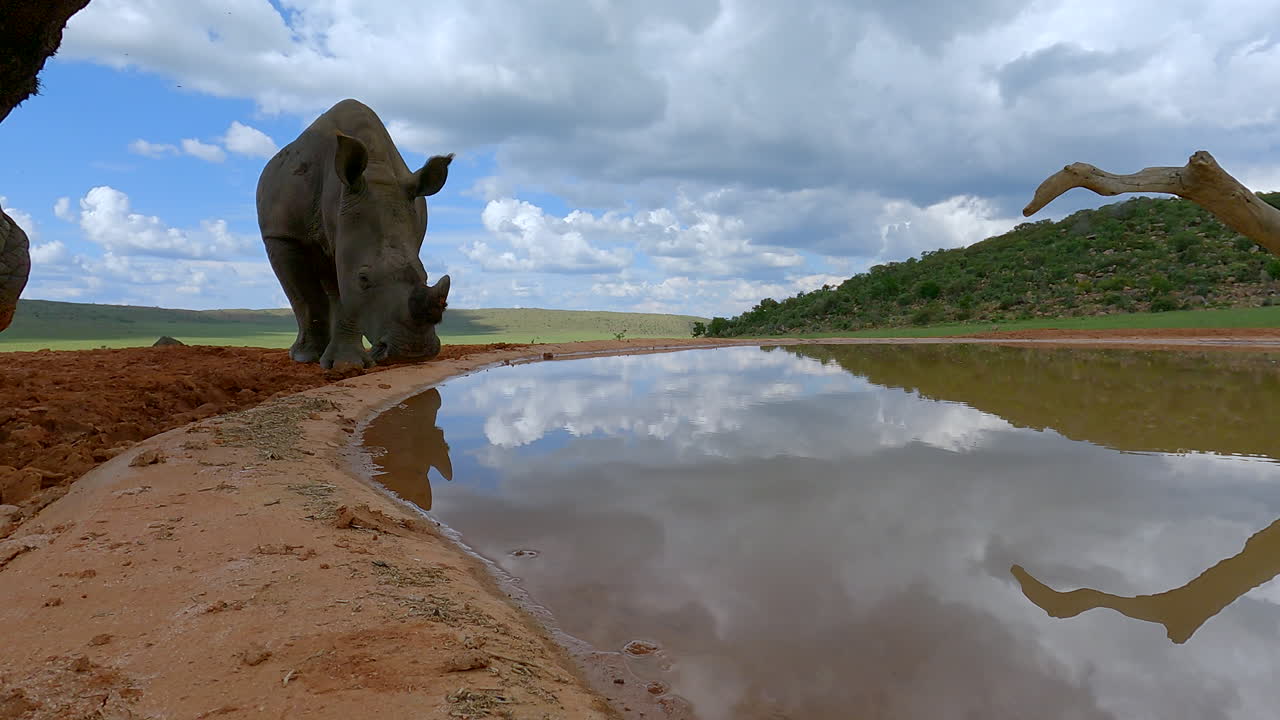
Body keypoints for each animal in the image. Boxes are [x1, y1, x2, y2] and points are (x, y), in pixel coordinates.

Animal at [257, 98, 453, 370]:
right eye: (363, 279)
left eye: (425, 276)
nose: (413, 352)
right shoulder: (283, 235)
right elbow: (307, 297)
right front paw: (311, 359)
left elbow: (344, 296)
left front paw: (346, 364)